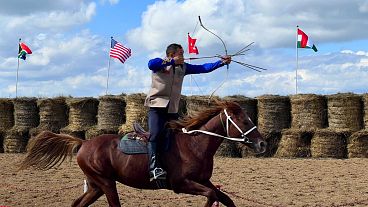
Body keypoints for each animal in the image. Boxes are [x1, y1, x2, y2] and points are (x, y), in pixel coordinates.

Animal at [19, 100, 264, 205]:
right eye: (244, 120)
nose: (262, 144)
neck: (195, 145)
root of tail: (83, 142)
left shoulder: (205, 181)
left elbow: (224, 198)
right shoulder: (181, 184)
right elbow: (212, 196)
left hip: (97, 186)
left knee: (78, 204)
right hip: (106, 184)